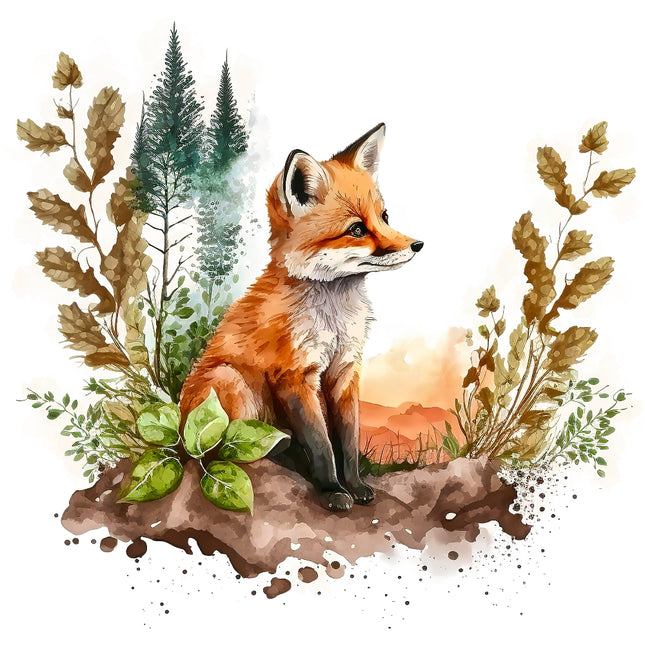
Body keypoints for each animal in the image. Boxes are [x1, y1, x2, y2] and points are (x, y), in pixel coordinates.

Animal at [180, 123, 423, 511]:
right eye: (357, 230)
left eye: (385, 218)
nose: (417, 245)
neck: (334, 316)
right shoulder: (294, 376)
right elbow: (322, 446)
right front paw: (333, 490)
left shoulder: (345, 369)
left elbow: (348, 441)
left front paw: (356, 485)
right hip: (228, 380)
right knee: (217, 452)